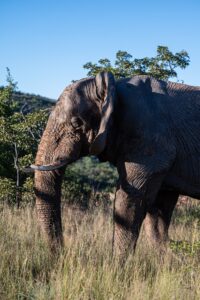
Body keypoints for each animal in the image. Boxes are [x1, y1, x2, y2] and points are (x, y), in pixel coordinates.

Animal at [32, 72, 200, 258]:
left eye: (77, 123)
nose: (62, 255)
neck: (114, 89)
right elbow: (158, 211)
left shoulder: (150, 140)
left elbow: (129, 200)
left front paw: (116, 265)